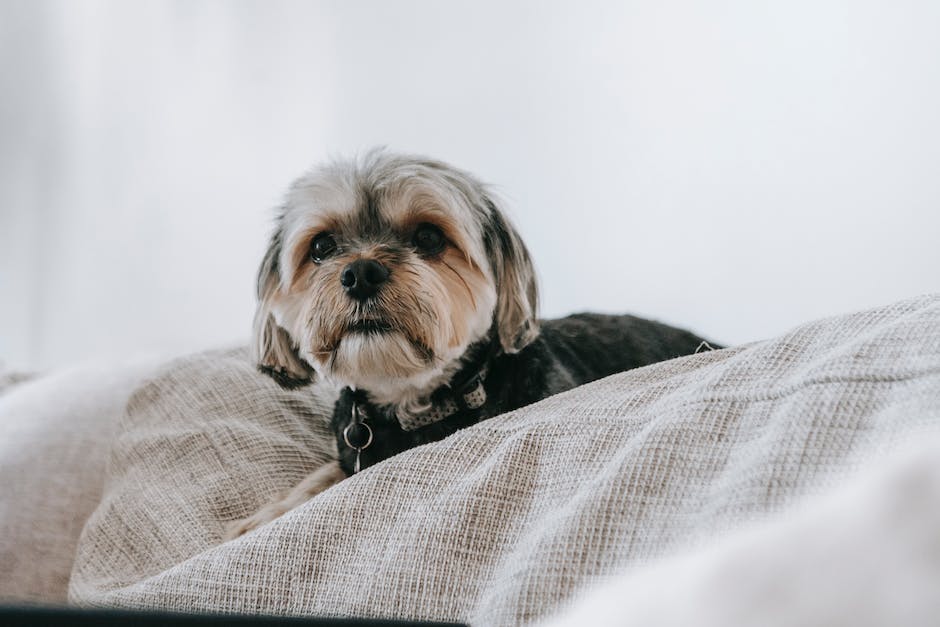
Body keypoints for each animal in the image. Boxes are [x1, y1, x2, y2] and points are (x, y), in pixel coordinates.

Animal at [222, 151, 720, 540]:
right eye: (321, 247)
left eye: (428, 237)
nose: (361, 273)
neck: (415, 401)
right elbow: (323, 476)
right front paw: (269, 513)